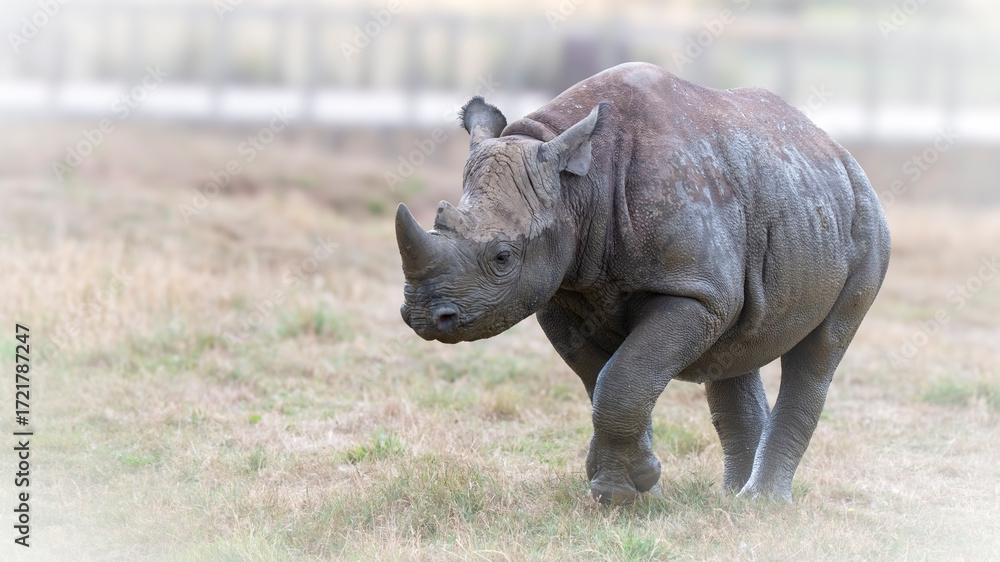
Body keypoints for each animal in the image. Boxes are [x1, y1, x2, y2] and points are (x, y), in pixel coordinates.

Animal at [394, 62, 890, 504]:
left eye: (503, 257)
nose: (422, 317)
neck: (578, 187)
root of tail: (839, 151)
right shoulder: (562, 294)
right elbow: (606, 381)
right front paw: (632, 486)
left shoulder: (691, 291)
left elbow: (621, 382)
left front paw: (618, 492)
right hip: (786, 195)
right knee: (736, 345)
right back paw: (730, 501)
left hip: (867, 222)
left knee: (820, 352)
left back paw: (762, 505)